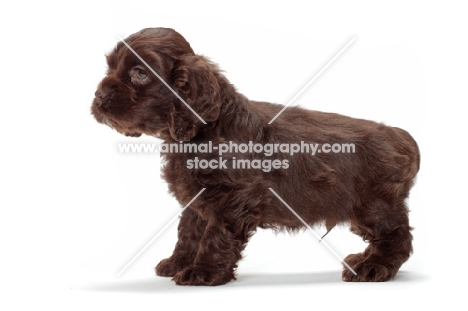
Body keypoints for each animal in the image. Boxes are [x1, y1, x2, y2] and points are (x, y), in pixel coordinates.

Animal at [91, 28, 420, 286]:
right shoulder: (198, 198)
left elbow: (215, 234)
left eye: (140, 73)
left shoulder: (235, 197)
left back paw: (372, 266)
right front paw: (178, 263)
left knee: (397, 236)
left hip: (374, 205)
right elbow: (189, 231)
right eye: (110, 67)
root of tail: (401, 136)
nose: (99, 96)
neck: (202, 132)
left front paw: (203, 272)